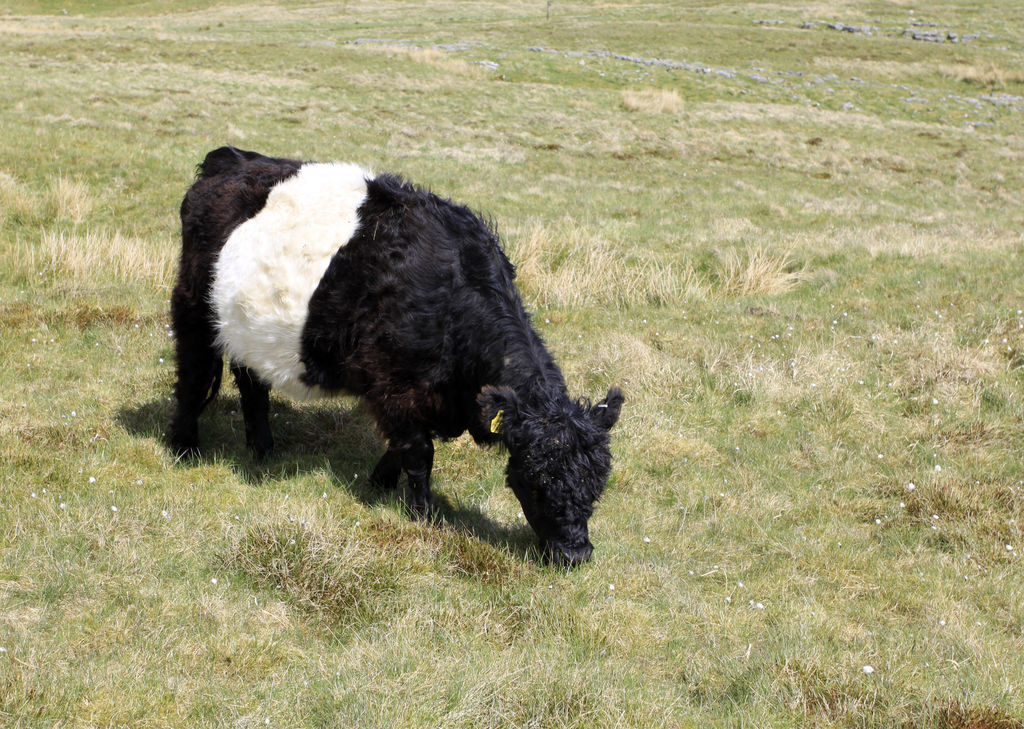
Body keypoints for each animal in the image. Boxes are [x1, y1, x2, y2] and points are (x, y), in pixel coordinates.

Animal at [169, 143, 622, 565]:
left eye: (599, 482)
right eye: (534, 476)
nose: (575, 554)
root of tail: (230, 158)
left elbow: (401, 446)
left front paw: (380, 482)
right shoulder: (394, 384)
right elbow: (420, 452)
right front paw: (425, 514)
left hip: (246, 325)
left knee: (251, 384)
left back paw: (263, 449)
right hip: (193, 307)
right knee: (192, 376)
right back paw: (184, 449)